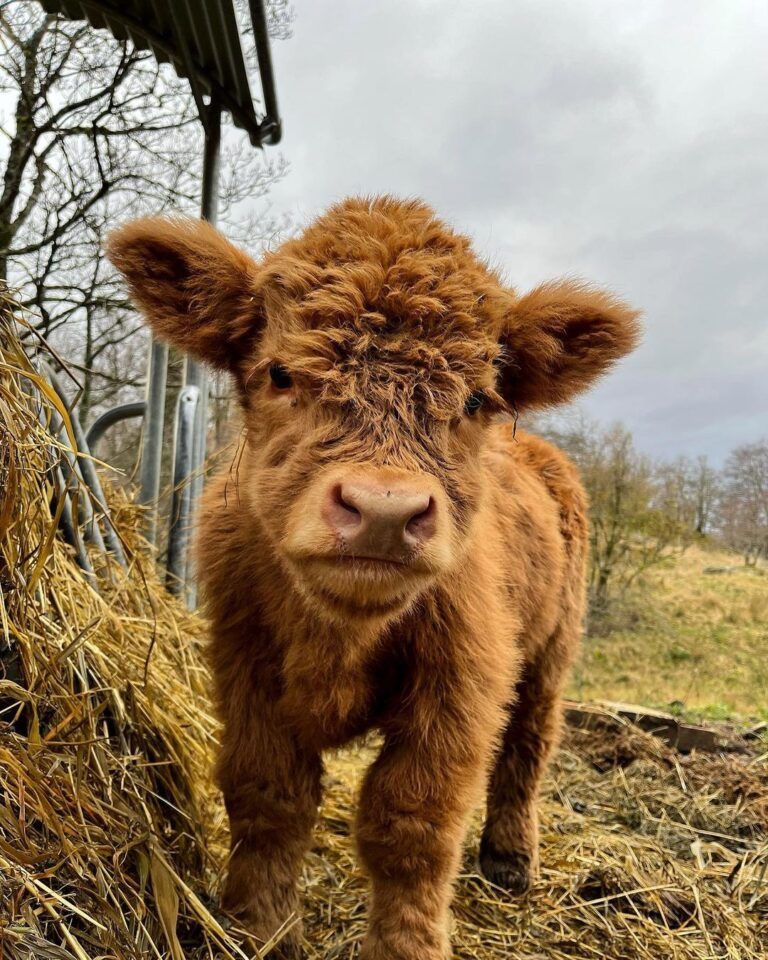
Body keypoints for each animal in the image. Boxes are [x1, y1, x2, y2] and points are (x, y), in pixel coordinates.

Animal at [108, 196, 639, 960]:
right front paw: (259, 928)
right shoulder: (245, 668)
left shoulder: (462, 684)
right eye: (279, 374)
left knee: (528, 745)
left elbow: (412, 823)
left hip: (551, 650)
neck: (340, 638)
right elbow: (268, 797)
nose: (384, 511)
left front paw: (407, 945)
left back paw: (510, 859)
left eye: (475, 400)